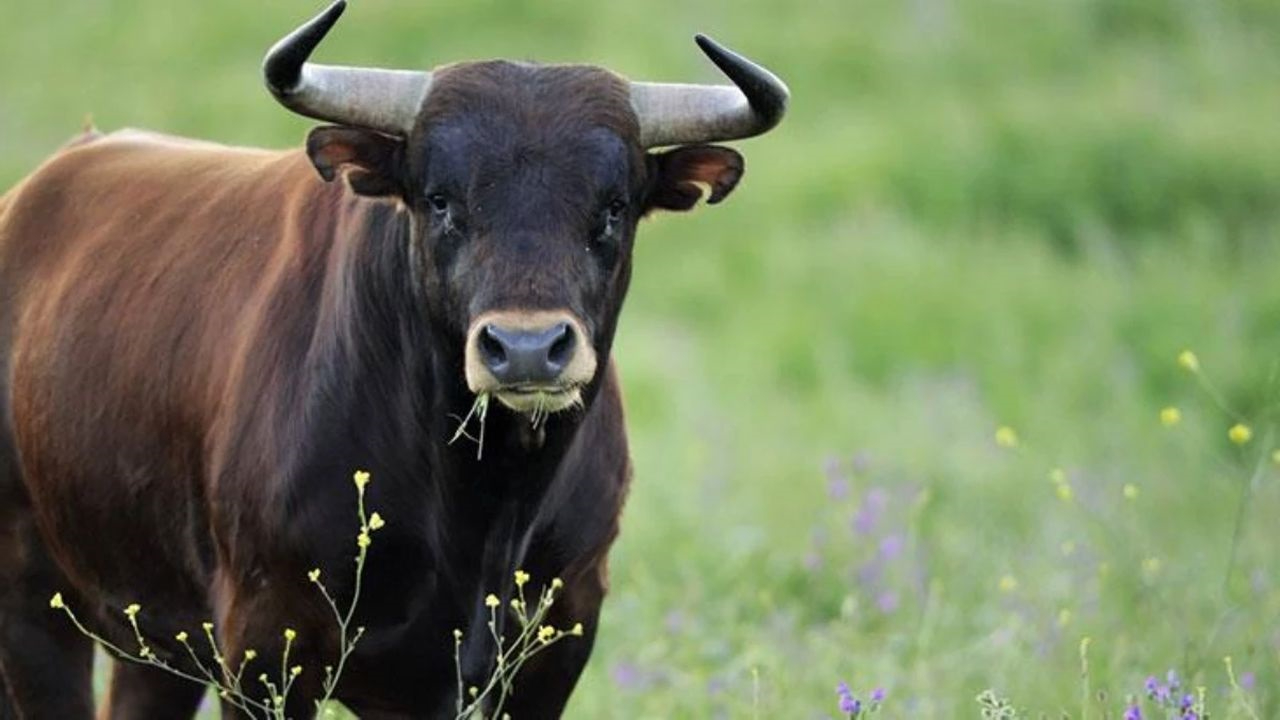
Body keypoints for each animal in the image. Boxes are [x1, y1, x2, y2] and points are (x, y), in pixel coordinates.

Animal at [0, 1, 787, 717]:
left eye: (614, 206)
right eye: (439, 199)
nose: (526, 349)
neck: (481, 506)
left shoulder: (554, 644)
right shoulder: (265, 644)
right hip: (36, 611)